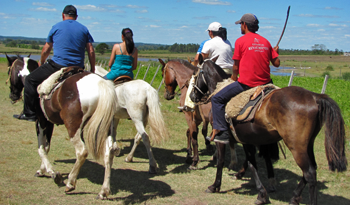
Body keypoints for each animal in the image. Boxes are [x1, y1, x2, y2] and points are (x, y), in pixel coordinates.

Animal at [6, 54, 119, 200]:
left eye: (9, 71)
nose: (12, 96)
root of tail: (101, 84)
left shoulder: (41, 121)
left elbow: (41, 148)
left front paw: (53, 173)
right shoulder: (49, 122)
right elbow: (46, 147)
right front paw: (43, 170)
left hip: (73, 127)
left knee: (82, 151)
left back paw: (70, 183)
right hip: (104, 127)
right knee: (108, 153)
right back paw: (103, 191)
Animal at [190, 56, 346, 204]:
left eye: (195, 74)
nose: (192, 96)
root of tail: (315, 97)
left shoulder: (220, 138)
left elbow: (221, 161)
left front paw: (215, 186)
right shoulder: (247, 139)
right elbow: (252, 164)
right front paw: (261, 194)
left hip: (296, 146)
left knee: (310, 173)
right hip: (308, 144)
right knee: (311, 169)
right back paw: (294, 197)